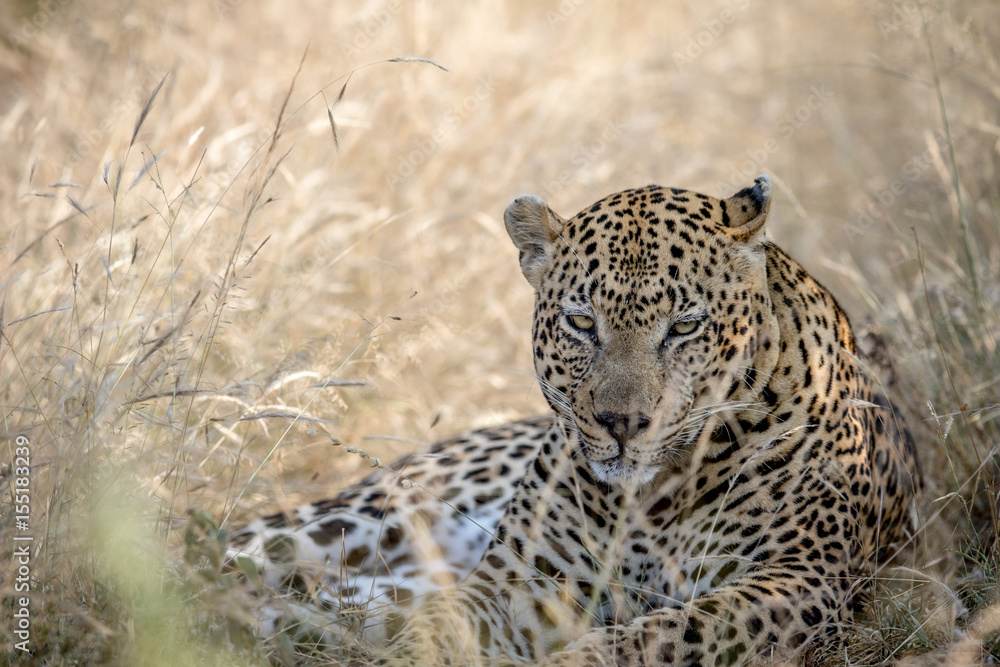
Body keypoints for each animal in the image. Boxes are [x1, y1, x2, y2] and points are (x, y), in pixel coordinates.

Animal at [229, 175, 920, 664]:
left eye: (685, 326)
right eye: (583, 322)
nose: (622, 423)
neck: (653, 501)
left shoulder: (796, 580)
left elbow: (665, 635)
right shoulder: (521, 580)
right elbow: (444, 627)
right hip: (376, 516)